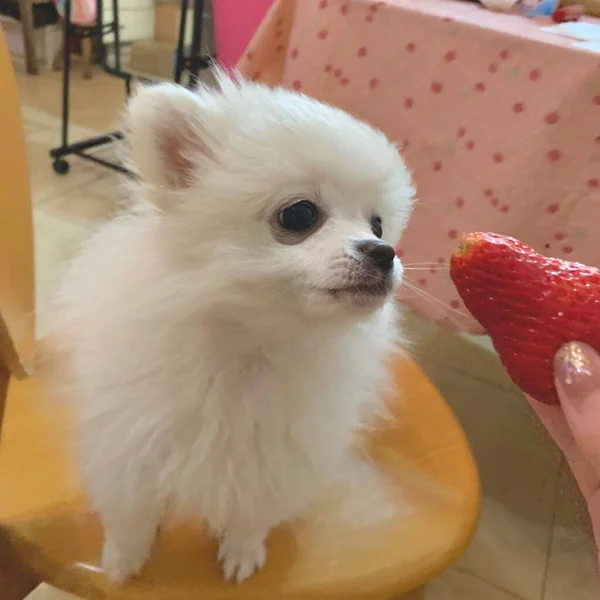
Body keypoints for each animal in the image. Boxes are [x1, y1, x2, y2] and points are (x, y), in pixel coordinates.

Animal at [49, 72, 414, 584]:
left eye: (378, 224)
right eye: (299, 214)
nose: (384, 252)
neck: (251, 346)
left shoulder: (279, 457)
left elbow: (252, 512)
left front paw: (242, 551)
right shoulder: (131, 440)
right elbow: (132, 512)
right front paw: (123, 559)